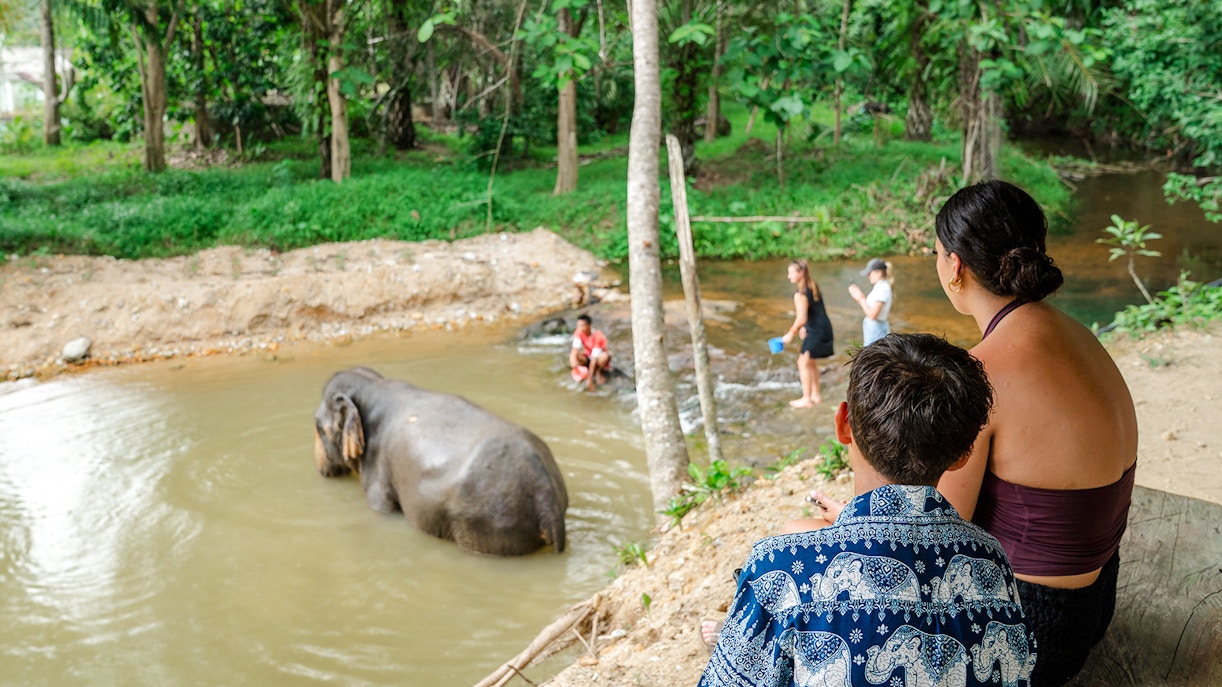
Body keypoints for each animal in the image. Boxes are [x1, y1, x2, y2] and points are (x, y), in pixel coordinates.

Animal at [313, 367, 568, 556]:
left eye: (317, 426)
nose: (323, 471)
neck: (376, 384)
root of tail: (548, 502)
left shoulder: (377, 468)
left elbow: (381, 510)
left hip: (484, 523)